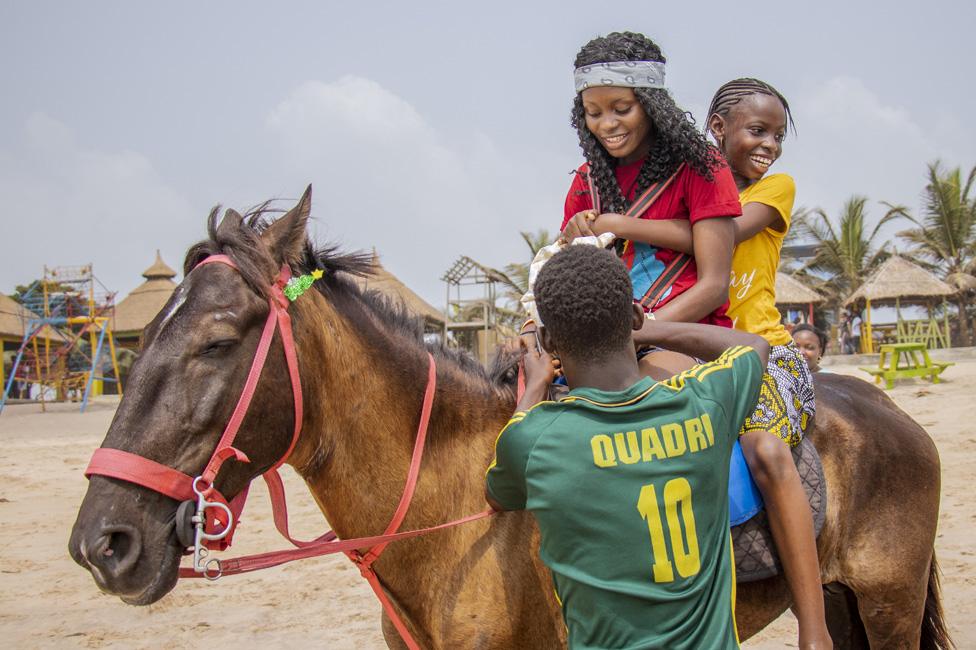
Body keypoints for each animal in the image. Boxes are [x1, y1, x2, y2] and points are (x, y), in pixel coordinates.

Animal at [68, 189, 952, 648]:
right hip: (841, 603)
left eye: (217, 342)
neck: (456, 510)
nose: (103, 544)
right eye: (139, 342)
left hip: (888, 605)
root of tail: (885, 408)